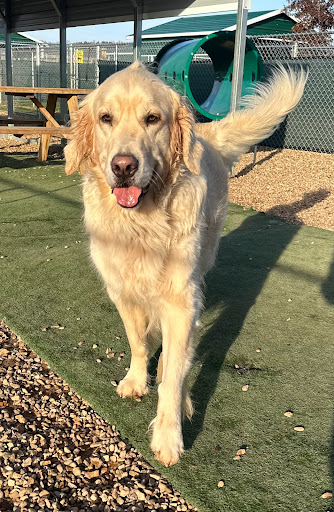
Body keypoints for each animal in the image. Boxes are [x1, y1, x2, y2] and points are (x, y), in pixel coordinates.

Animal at [64, 62, 306, 466]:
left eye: (152, 119)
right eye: (105, 118)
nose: (124, 166)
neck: (142, 222)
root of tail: (208, 134)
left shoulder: (180, 299)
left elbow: (175, 376)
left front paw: (168, 434)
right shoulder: (121, 290)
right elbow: (137, 341)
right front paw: (136, 379)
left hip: (203, 255)